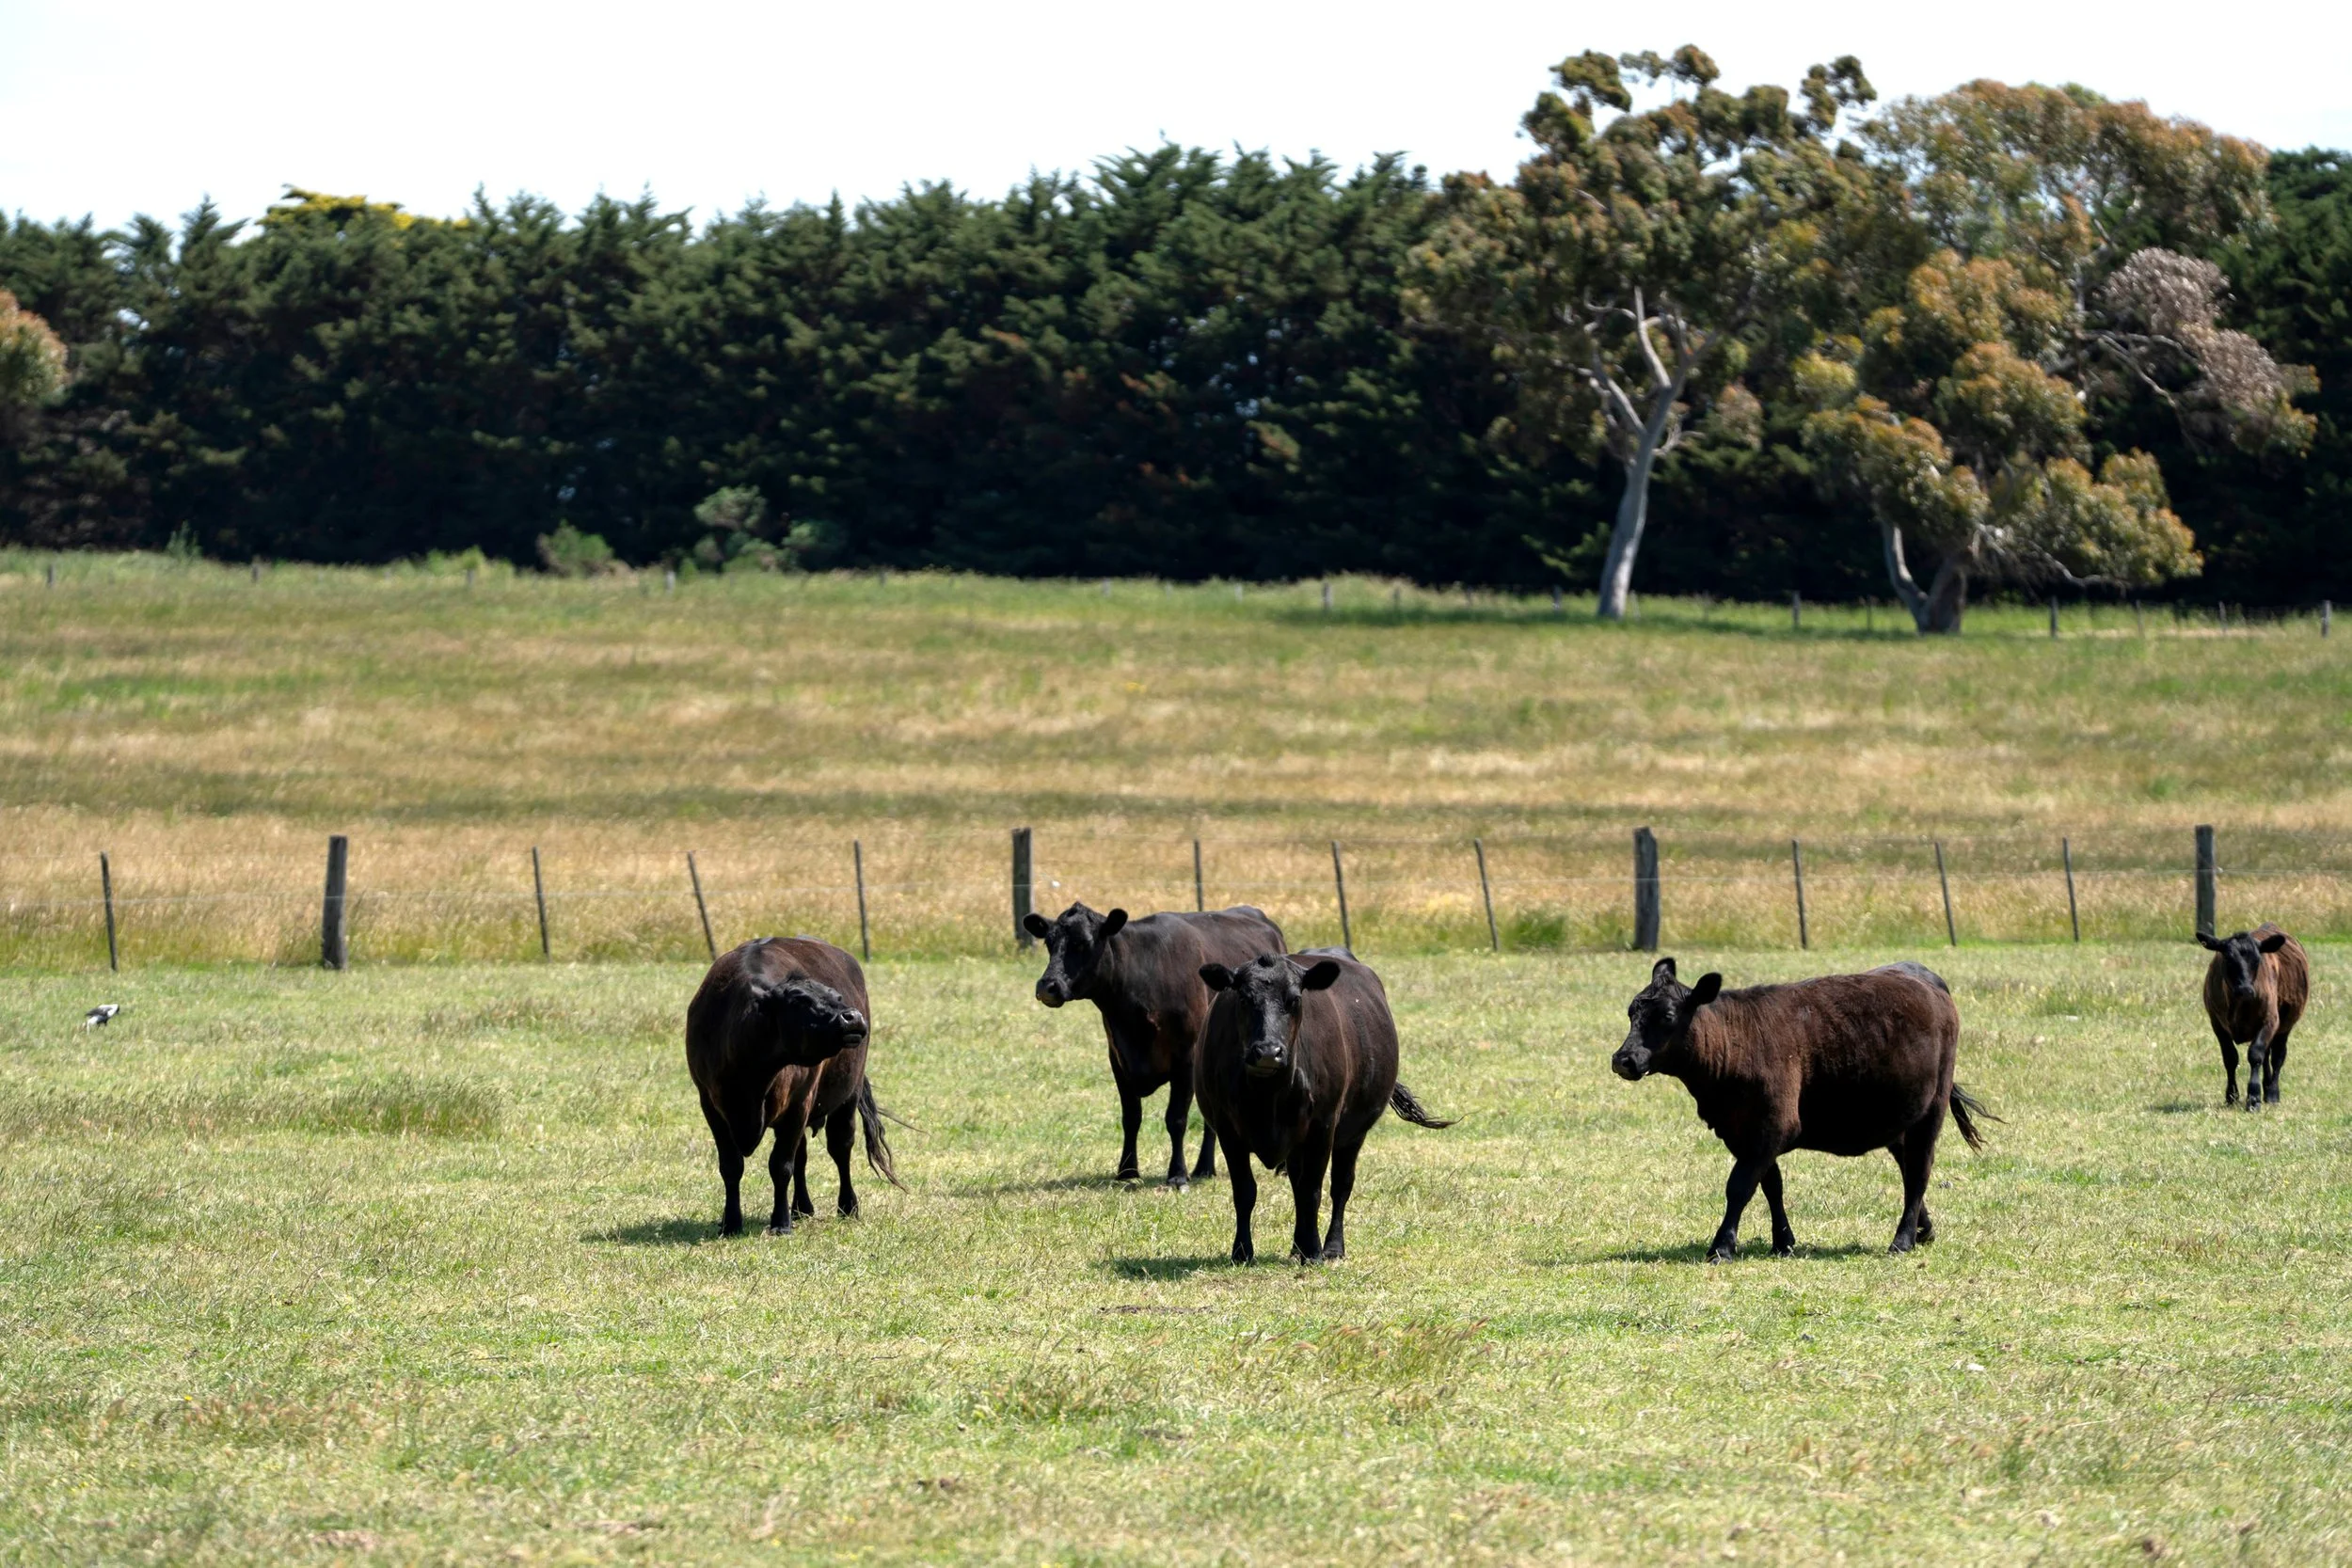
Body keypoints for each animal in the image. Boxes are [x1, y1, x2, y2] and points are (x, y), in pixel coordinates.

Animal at [685, 935, 899, 1235]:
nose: (853, 1017)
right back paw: (802, 1207)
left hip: (848, 1095)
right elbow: (731, 1166)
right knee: (802, 1155)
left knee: (840, 1148)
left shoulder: (799, 1102)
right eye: (800, 1001)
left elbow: (780, 1165)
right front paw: (731, 1222)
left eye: (837, 997)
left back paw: (847, 1206)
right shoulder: (711, 1104)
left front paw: (781, 1223)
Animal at [1026, 901, 1286, 1186]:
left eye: (1083, 943)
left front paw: (1177, 1174)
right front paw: (1127, 1171)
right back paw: (1205, 1167)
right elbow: (1131, 1117)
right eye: (1049, 943)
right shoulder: (1117, 1058)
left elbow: (1176, 1119)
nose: (1047, 986)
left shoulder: (1186, 1059)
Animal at [1194, 950, 1453, 1263]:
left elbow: (1312, 1190)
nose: (1268, 1052)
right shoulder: (1227, 1129)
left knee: (1340, 1186)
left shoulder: (1323, 1126)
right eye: (1244, 999)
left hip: (1352, 1134)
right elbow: (1245, 1191)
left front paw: (1313, 1251)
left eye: (1295, 1000)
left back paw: (1330, 1247)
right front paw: (1242, 1251)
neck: (1269, 1094)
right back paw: (1297, 1246)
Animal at [1610, 957, 1991, 1261]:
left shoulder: (1772, 1125)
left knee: (1919, 1171)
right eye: (1631, 1012)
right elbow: (1770, 1185)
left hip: (1931, 1111)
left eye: (1667, 1015)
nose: (1623, 1059)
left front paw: (1722, 1246)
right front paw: (1783, 1242)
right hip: (1898, 1116)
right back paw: (1923, 1232)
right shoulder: (1740, 1131)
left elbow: (1740, 1186)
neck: (1736, 1042)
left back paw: (1902, 1241)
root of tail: (1922, 974)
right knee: (1908, 1167)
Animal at [2200, 924, 2309, 1108]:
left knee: (2277, 1057)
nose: (2245, 990)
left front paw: (2254, 1096)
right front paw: (2231, 1095)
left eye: (2257, 961)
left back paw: (2272, 1093)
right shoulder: (2217, 1023)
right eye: (2228, 960)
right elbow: (2230, 1058)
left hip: (2286, 1024)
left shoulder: (2270, 1020)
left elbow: (2256, 1054)